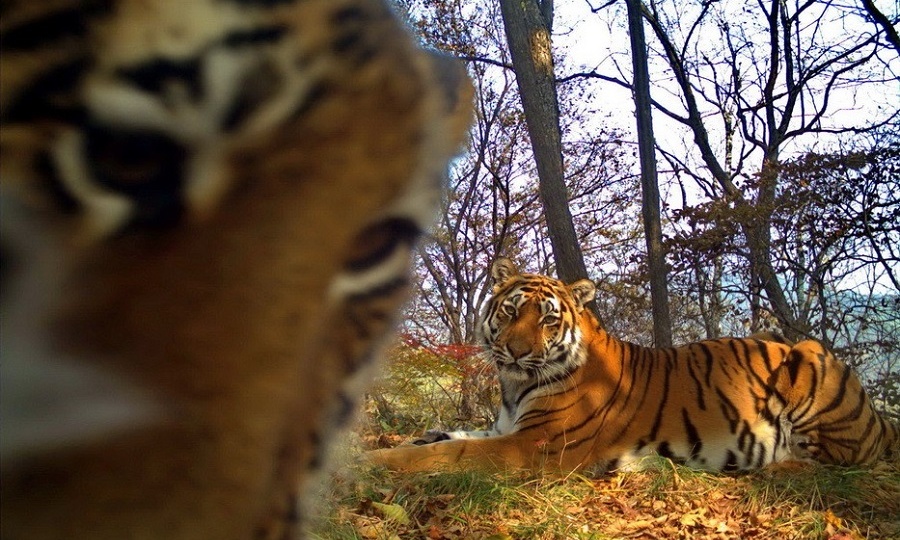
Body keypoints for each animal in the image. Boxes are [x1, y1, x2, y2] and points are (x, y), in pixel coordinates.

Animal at [367, 257, 900, 473]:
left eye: (548, 319)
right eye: (511, 311)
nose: (516, 352)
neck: (515, 387)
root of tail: (879, 417)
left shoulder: (534, 445)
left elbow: (450, 453)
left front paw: (377, 461)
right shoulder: (507, 428)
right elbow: (455, 435)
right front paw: (419, 437)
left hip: (808, 358)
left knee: (827, 460)